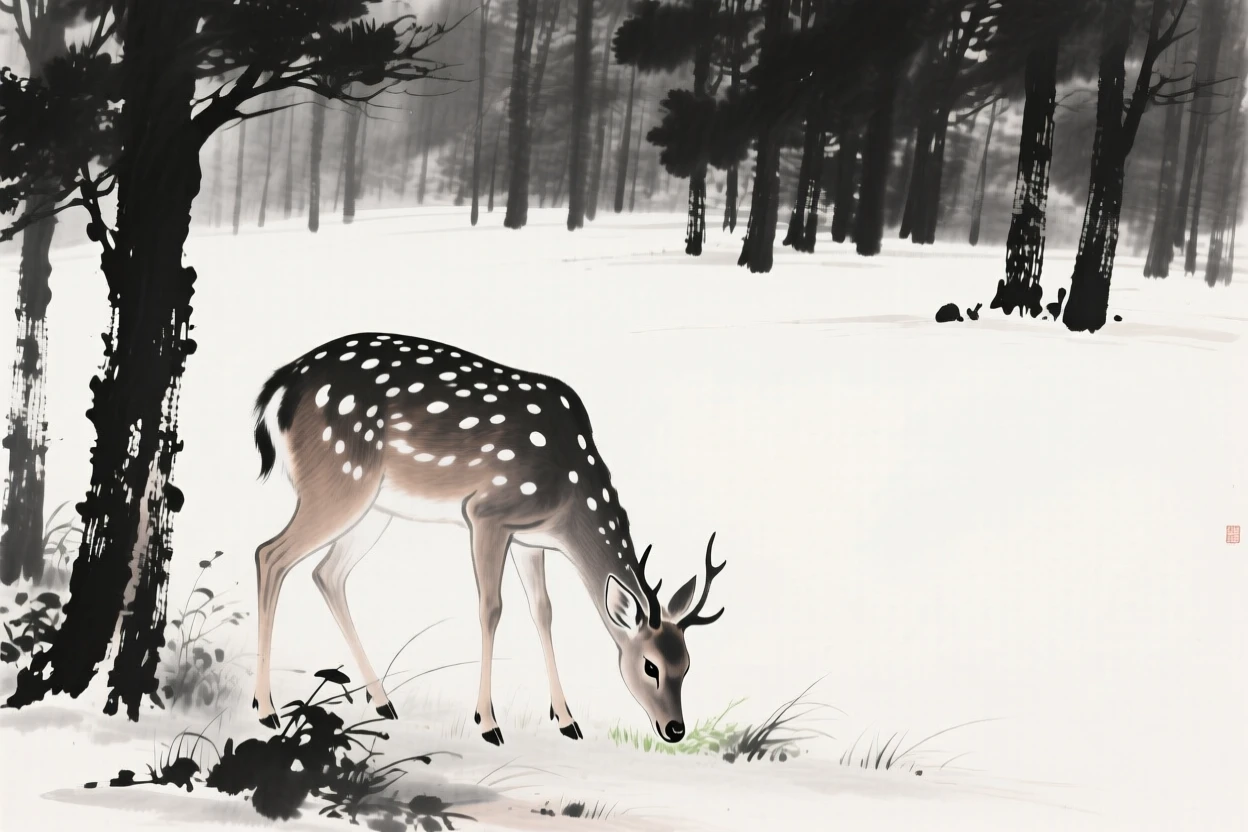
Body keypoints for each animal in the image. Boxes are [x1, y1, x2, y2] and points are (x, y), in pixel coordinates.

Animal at [250, 333, 726, 746]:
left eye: (687, 664)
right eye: (650, 666)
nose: (675, 729)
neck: (570, 494)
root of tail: (283, 384)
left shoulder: (531, 539)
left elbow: (543, 611)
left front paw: (565, 719)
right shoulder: (487, 513)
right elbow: (491, 608)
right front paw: (488, 722)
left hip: (373, 509)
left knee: (327, 573)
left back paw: (382, 700)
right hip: (339, 479)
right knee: (269, 554)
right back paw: (265, 709)